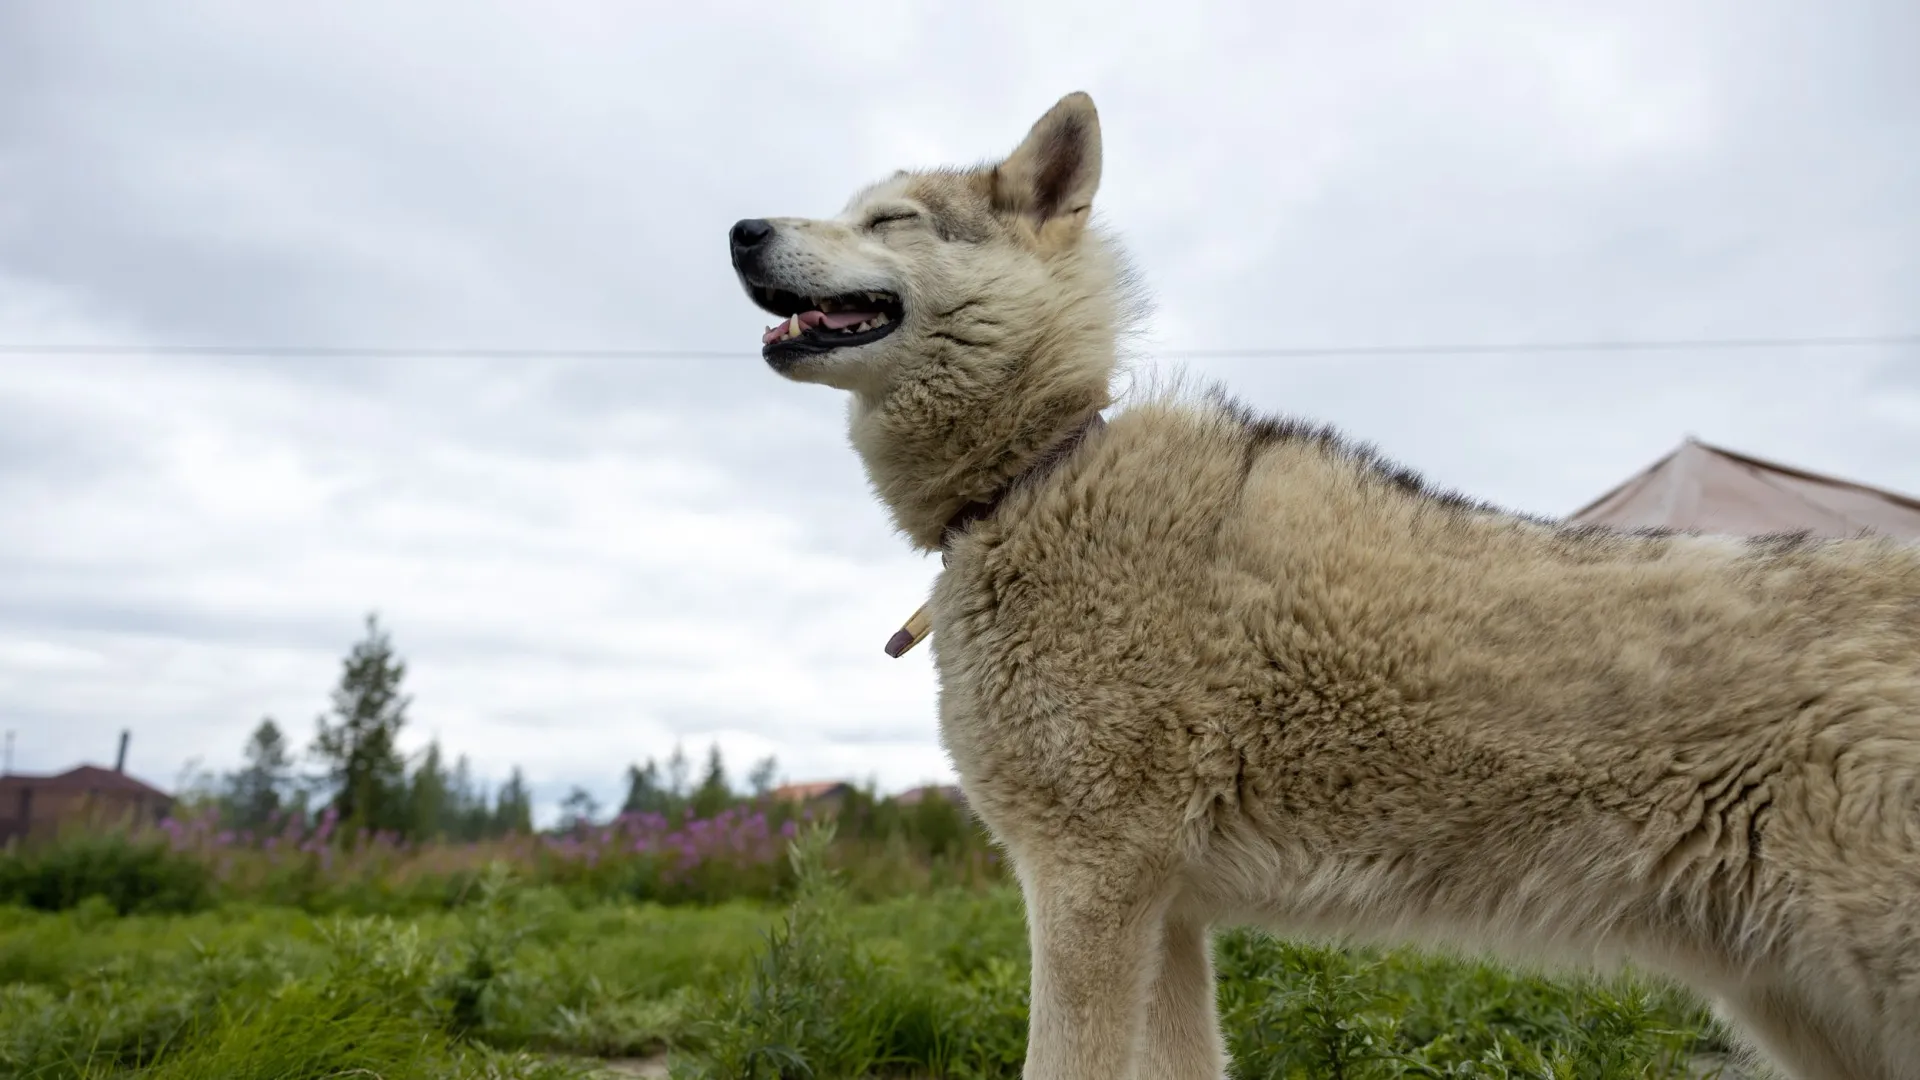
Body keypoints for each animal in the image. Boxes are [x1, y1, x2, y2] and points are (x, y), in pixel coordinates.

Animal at [721, 90, 1920, 1076]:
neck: (1032, 476)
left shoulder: (1088, 887)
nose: (738, 229)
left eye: (891, 222)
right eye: (847, 210)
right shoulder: (1167, 911)